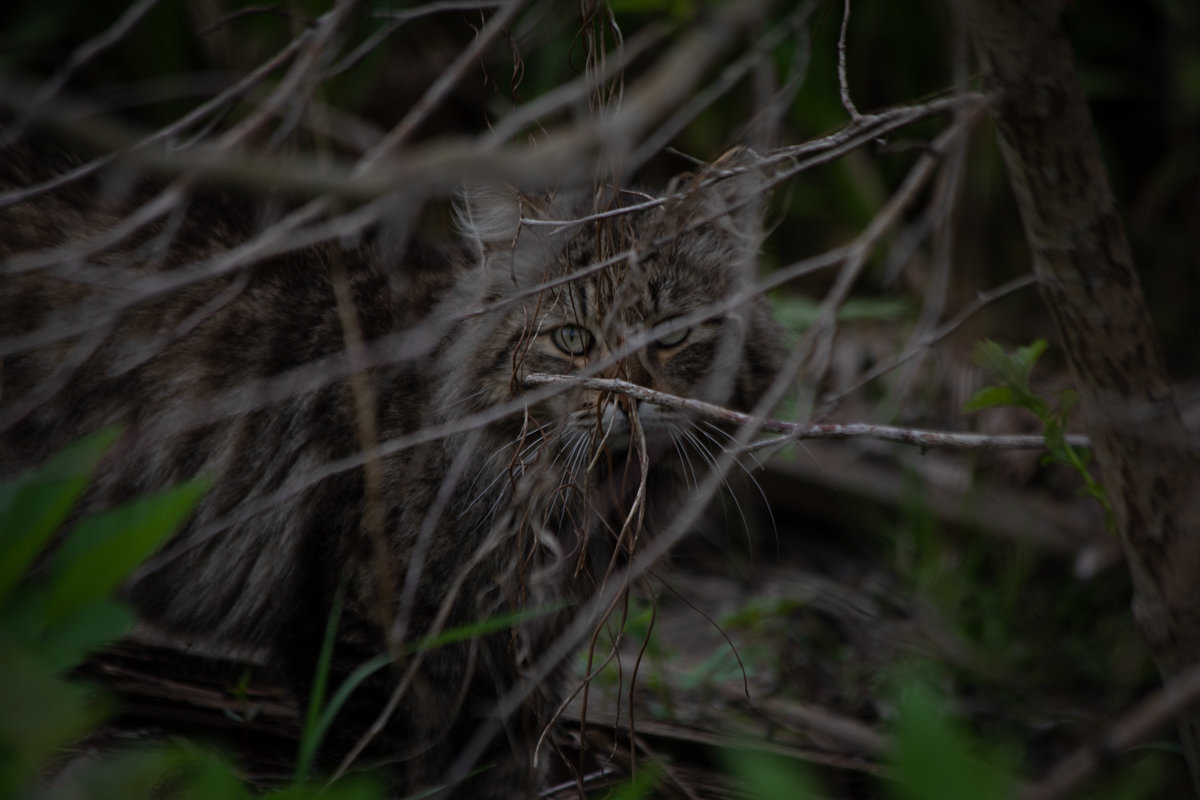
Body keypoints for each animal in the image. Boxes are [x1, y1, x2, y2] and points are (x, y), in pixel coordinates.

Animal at [0, 140, 782, 796]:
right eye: (572, 341)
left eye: (671, 335)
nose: (626, 400)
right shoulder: (370, 639)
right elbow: (383, 775)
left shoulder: (522, 658)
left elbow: (502, 774)